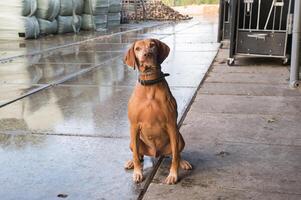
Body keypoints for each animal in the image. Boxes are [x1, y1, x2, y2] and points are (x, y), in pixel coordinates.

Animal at [122, 39, 191, 184]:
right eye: (137, 48)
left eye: (152, 45)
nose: (147, 54)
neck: (150, 84)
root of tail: (157, 154)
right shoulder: (134, 126)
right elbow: (136, 155)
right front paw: (137, 172)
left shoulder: (171, 125)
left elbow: (175, 156)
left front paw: (173, 175)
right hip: (132, 141)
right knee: (139, 154)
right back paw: (131, 162)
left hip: (179, 138)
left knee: (176, 153)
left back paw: (183, 162)